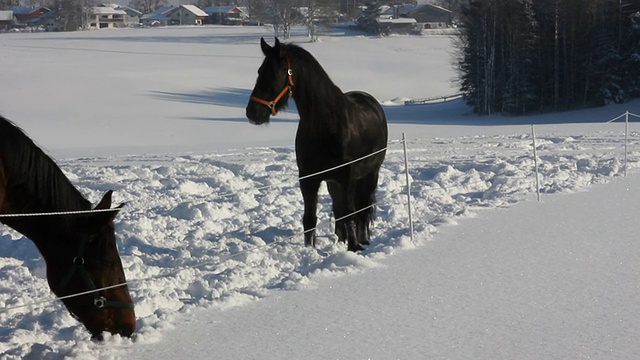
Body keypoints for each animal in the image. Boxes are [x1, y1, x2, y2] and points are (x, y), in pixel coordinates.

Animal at [245, 36, 388, 250]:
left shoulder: (347, 178)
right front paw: (309, 250)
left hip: (370, 174)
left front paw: (354, 248)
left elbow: (350, 214)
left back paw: (363, 240)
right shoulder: (309, 178)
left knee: (362, 209)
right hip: (333, 183)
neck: (326, 126)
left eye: (275, 73)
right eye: (260, 71)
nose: (253, 113)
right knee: (340, 211)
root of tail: (371, 102)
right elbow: (310, 219)